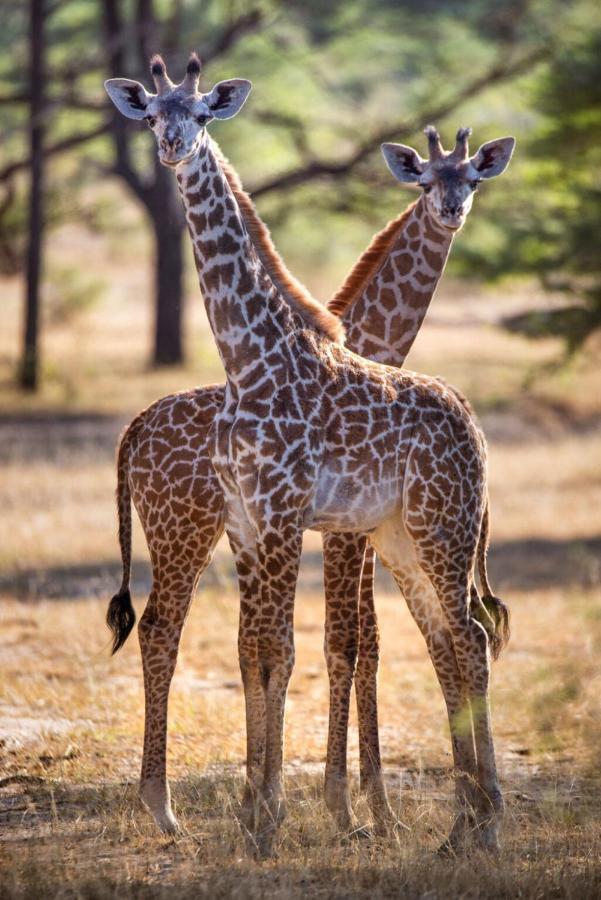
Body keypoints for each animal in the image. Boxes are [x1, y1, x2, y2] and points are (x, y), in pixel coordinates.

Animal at [106, 51, 510, 852]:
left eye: (202, 111)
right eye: (152, 112)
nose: (172, 147)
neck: (254, 359)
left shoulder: (297, 518)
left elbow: (312, 647)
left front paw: (297, 814)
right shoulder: (272, 520)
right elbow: (276, 649)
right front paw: (275, 811)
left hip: (435, 529)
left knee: (468, 636)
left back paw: (478, 822)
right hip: (328, 533)